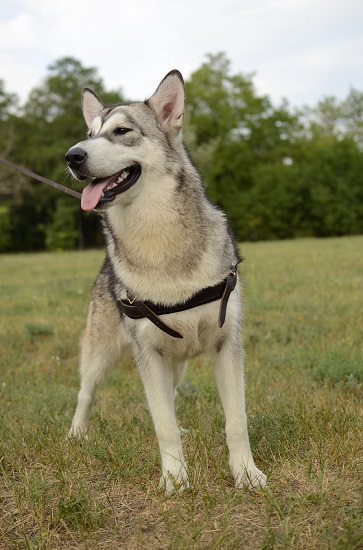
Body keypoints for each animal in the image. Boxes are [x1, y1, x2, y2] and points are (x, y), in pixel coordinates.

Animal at [65, 69, 268, 496]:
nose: (72, 156)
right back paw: (76, 434)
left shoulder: (227, 347)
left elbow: (236, 421)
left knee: (172, 397)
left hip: (177, 364)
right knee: (85, 393)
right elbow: (163, 427)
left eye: (121, 131)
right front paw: (175, 479)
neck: (159, 242)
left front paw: (245, 473)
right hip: (101, 353)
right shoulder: (149, 356)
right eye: (89, 133)